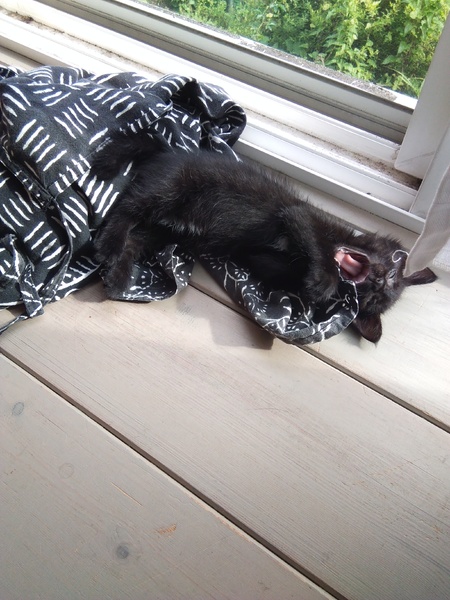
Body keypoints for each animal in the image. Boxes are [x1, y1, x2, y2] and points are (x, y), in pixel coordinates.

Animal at [91, 134, 436, 343]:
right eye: (390, 274)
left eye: (374, 298)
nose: (377, 279)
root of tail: (168, 150)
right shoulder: (299, 215)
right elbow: (316, 243)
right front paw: (323, 280)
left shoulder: (263, 260)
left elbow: (281, 267)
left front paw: (311, 286)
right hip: (168, 189)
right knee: (126, 206)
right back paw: (109, 245)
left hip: (162, 230)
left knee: (135, 239)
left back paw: (119, 276)